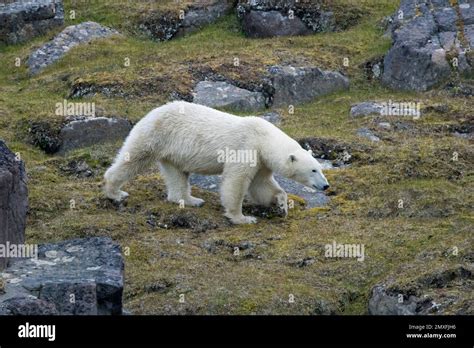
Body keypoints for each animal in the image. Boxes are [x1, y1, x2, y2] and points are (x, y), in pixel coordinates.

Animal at [104, 100, 330, 226]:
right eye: (313, 170)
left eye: (320, 168)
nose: (326, 185)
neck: (262, 138)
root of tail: (151, 113)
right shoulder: (246, 148)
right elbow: (236, 182)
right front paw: (242, 218)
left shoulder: (261, 160)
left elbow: (261, 185)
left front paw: (282, 204)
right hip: (156, 135)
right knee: (134, 158)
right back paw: (115, 192)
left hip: (173, 151)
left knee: (177, 174)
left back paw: (191, 199)